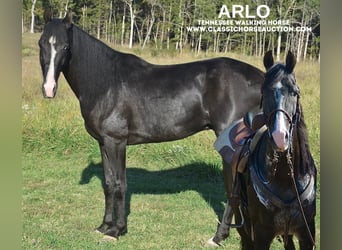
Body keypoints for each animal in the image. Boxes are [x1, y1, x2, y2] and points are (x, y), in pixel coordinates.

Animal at [38, 9, 264, 240]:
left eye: (66, 46)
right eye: (41, 44)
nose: (49, 89)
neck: (106, 83)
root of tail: (260, 76)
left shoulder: (117, 141)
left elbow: (120, 184)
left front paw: (117, 230)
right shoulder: (103, 142)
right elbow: (109, 183)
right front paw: (104, 226)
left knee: (233, 188)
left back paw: (218, 236)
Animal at [211, 50, 318, 248]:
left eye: (294, 92)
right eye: (264, 91)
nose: (279, 137)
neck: (285, 179)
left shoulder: (307, 233)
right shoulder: (261, 233)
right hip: (241, 215)